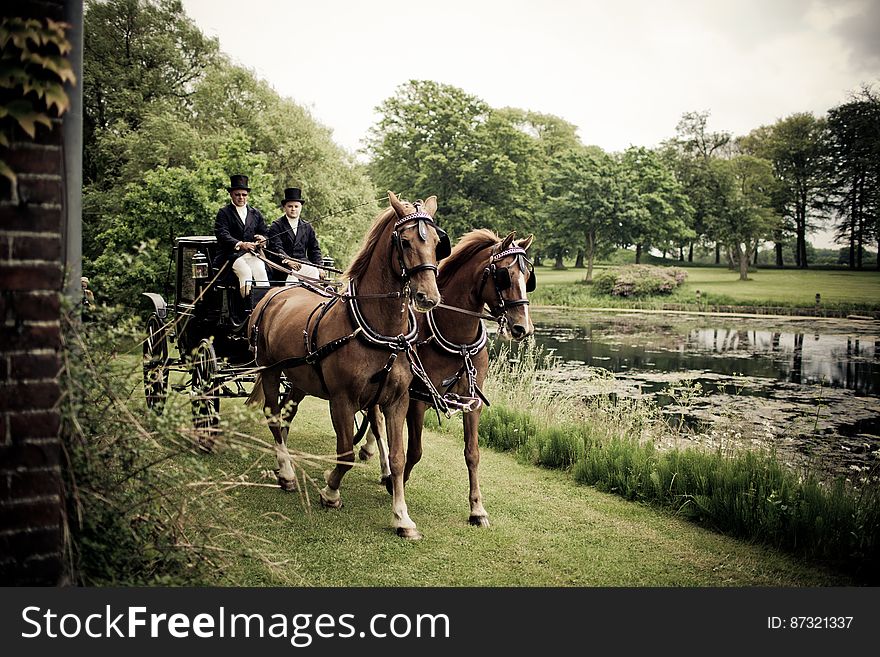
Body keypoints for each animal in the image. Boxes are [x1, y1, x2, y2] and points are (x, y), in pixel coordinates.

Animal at [248, 191, 450, 540]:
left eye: (438, 242)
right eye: (405, 241)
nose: (428, 296)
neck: (381, 331)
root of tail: (274, 295)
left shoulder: (397, 401)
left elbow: (397, 457)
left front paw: (402, 516)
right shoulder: (342, 400)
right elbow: (345, 452)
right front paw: (330, 491)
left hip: (299, 380)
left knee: (285, 417)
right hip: (270, 370)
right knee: (273, 417)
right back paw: (286, 472)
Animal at [360, 228, 536, 524]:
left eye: (528, 278)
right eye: (505, 275)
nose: (523, 328)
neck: (458, 340)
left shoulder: (472, 402)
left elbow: (472, 453)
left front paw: (477, 509)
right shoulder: (417, 399)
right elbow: (415, 450)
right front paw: (397, 485)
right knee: (375, 420)